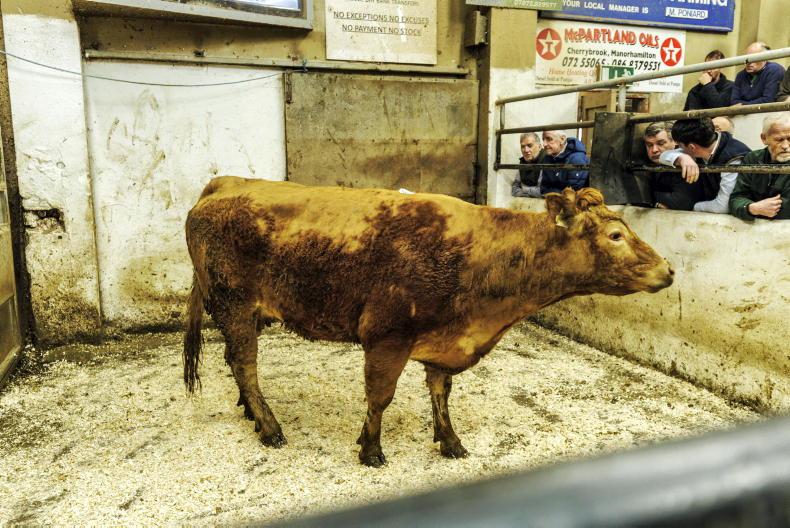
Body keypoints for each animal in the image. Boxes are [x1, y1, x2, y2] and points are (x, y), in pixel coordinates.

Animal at [183, 177, 673, 467]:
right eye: (615, 235)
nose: (668, 269)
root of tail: (224, 183)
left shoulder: (444, 342)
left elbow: (441, 394)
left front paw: (450, 441)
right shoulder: (386, 337)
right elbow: (380, 397)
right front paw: (371, 449)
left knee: (236, 366)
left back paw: (252, 413)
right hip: (236, 306)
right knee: (245, 365)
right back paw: (270, 427)